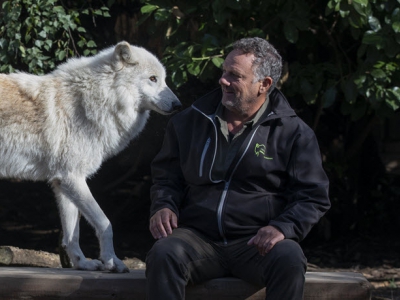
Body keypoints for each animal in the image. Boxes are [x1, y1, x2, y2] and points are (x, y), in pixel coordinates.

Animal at [0, 41, 181, 274]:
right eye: (152, 78)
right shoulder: (73, 178)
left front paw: (82, 263)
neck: (96, 100)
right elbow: (105, 224)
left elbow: (72, 235)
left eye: (164, 79)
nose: (178, 105)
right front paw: (112, 262)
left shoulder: (63, 182)